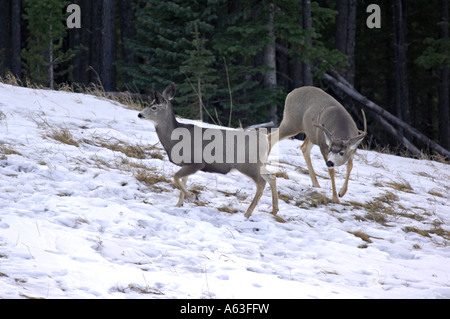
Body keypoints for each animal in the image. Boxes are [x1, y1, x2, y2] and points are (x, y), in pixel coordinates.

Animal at [137, 82, 278, 219]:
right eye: (150, 104)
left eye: (154, 107)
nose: (139, 114)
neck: (174, 139)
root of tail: (267, 140)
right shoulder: (186, 163)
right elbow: (182, 181)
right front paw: (178, 204)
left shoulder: (197, 162)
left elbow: (176, 177)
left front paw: (193, 196)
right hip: (259, 164)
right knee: (272, 176)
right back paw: (274, 211)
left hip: (248, 164)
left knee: (261, 182)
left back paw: (248, 213)